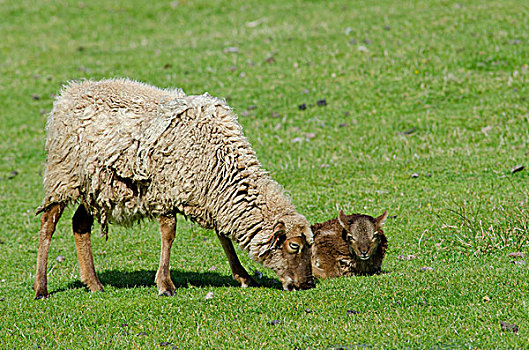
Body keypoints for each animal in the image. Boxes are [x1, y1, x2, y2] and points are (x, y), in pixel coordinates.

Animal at [34, 77, 314, 298]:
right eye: (294, 246)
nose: (308, 284)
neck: (221, 160)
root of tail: (69, 91)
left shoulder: (211, 196)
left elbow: (223, 235)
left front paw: (243, 276)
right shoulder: (166, 192)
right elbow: (169, 234)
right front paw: (165, 284)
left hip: (97, 186)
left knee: (80, 224)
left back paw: (93, 283)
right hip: (64, 175)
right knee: (48, 223)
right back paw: (41, 288)